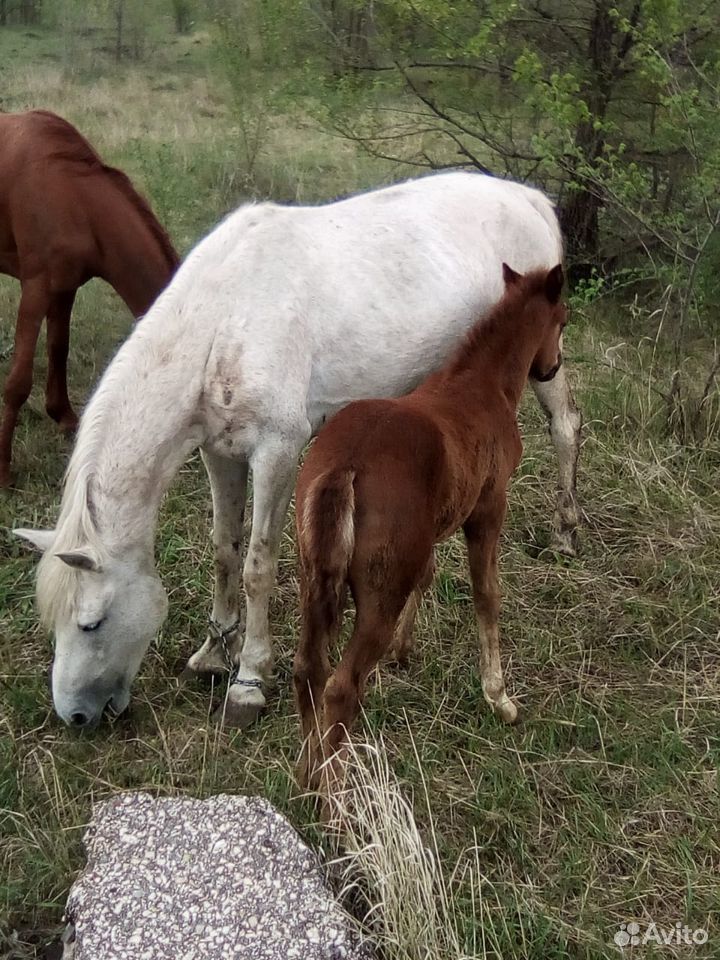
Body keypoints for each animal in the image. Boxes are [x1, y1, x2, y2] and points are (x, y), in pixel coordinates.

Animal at [0, 110, 179, 488]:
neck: (75, 199)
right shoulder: (36, 287)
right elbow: (19, 381)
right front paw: (3, 469)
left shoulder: (64, 287)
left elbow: (58, 347)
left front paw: (64, 416)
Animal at [15, 172, 580, 728]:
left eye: (91, 623)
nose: (75, 715)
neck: (226, 320)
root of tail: (527, 197)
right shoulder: (220, 453)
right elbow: (225, 551)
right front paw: (214, 654)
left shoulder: (278, 452)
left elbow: (257, 565)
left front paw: (248, 681)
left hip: (543, 362)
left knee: (565, 427)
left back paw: (565, 533)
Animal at [292, 260, 568, 796]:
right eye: (562, 321)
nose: (551, 367)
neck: (480, 385)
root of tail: (348, 464)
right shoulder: (488, 508)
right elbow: (487, 593)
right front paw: (500, 698)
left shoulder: (435, 526)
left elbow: (428, 572)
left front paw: (405, 651)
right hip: (378, 592)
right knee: (341, 687)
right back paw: (334, 792)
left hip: (311, 575)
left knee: (308, 670)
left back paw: (305, 775)